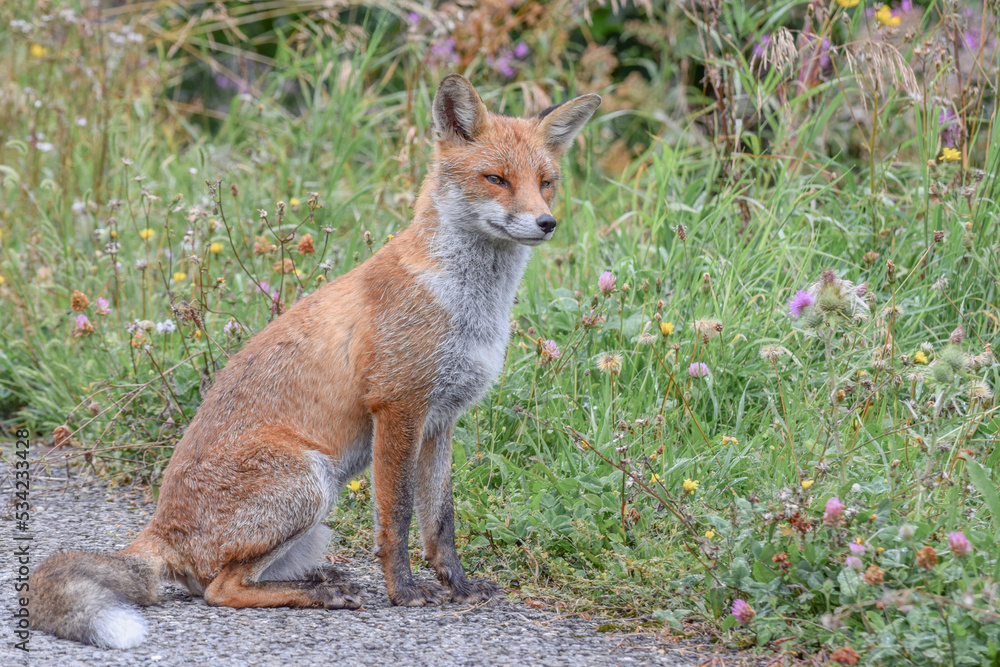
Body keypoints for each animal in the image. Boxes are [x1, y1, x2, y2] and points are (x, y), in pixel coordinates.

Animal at [29, 74, 600, 652]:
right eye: (496, 179)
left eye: (545, 182)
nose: (546, 222)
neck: (466, 305)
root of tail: (156, 531)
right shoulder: (398, 407)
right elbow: (397, 517)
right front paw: (404, 593)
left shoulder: (441, 420)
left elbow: (440, 521)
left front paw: (457, 585)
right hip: (311, 482)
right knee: (219, 589)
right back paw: (321, 593)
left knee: (225, 580)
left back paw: (320, 579)